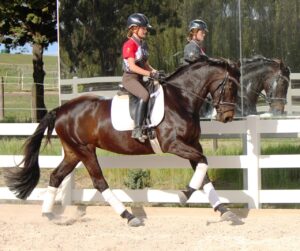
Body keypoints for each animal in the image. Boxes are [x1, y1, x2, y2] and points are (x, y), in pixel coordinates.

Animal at [5, 56, 241, 226]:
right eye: (230, 86)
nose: (228, 117)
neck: (181, 99)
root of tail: (61, 110)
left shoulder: (192, 144)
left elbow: (204, 172)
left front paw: (225, 212)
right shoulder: (174, 144)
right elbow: (204, 163)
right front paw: (184, 195)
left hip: (73, 152)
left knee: (56, 176)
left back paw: (48, 215)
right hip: (85, 150)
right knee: (99, 182)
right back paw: (129, 217)